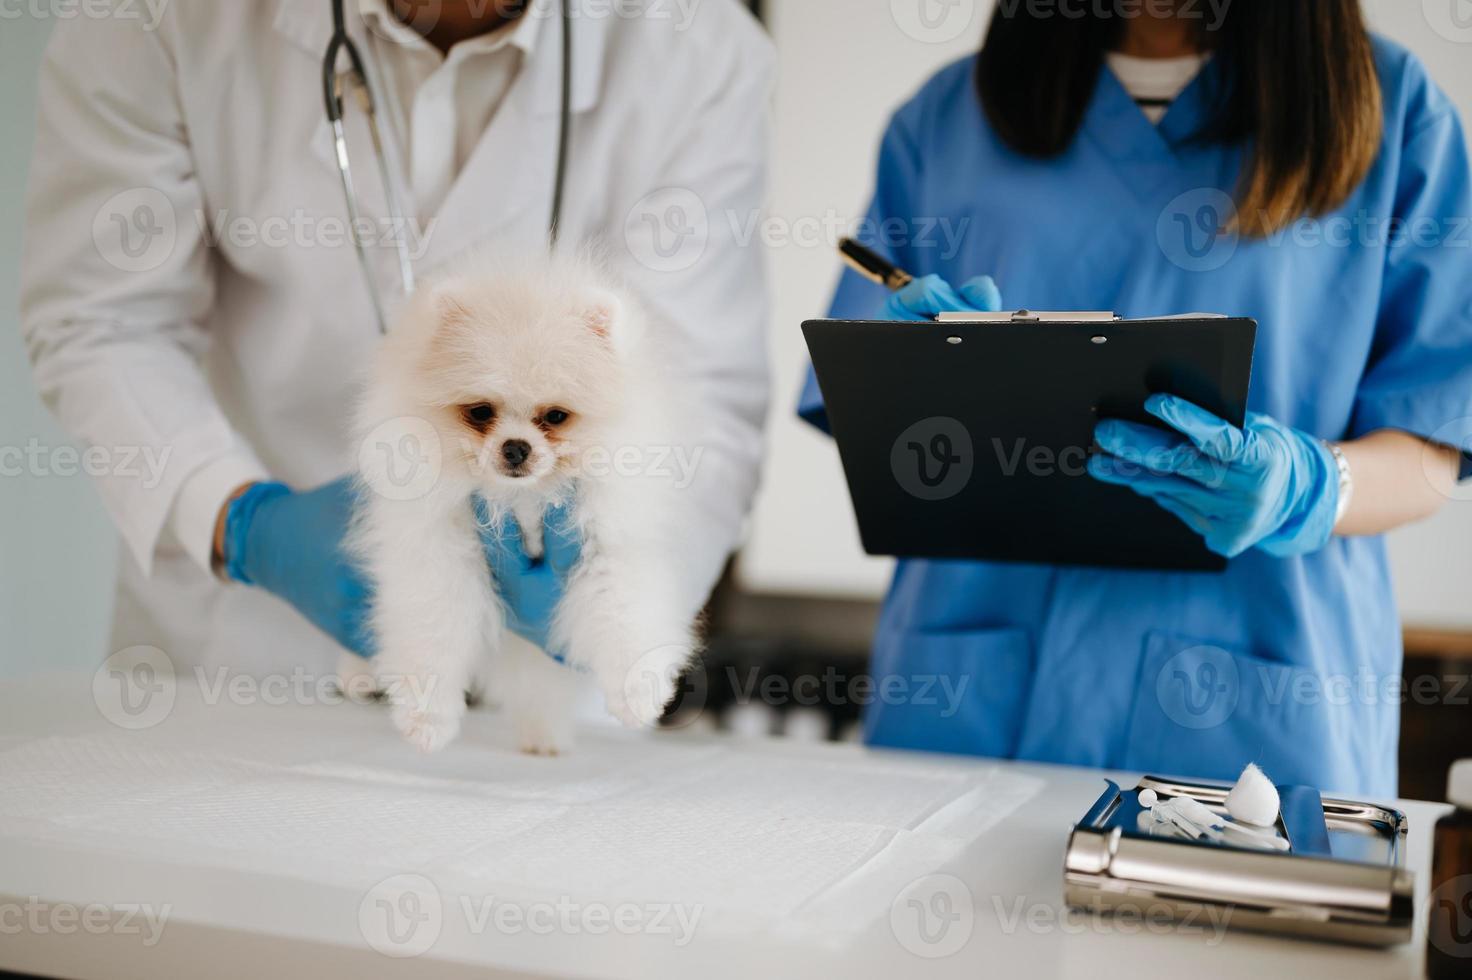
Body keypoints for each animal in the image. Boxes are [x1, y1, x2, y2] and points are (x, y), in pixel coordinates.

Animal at [353, 250, 703, 747]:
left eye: (555, 416)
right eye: (481, 412)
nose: (515, 447)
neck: (525, 502)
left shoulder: (608, 546)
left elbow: (625, 617)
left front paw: (638, 696)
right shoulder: (441, 553)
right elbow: (432, 631)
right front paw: (426, 719)